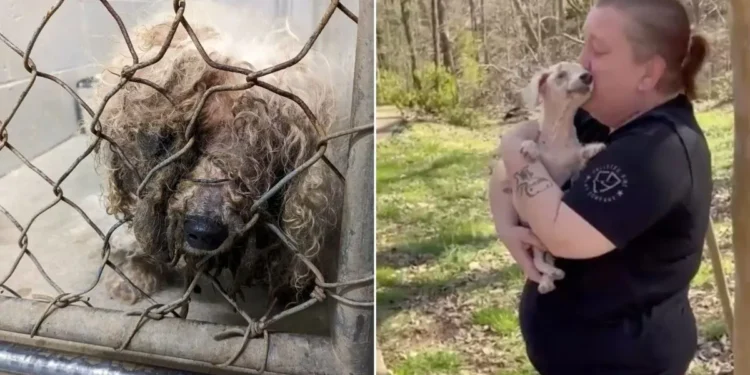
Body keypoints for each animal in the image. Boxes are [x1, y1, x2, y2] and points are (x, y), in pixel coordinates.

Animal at [496, 61, 608, 294]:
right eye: (561, 75)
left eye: (583, 69)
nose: (588, 76)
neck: (559, 136)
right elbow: (535, 147)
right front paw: (529, 148)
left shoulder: (573, 169)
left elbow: (579, 159)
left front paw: (592, 149)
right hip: (534, 238)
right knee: (540, 261)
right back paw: (548, 279)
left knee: (545, 261)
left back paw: (551, 275)